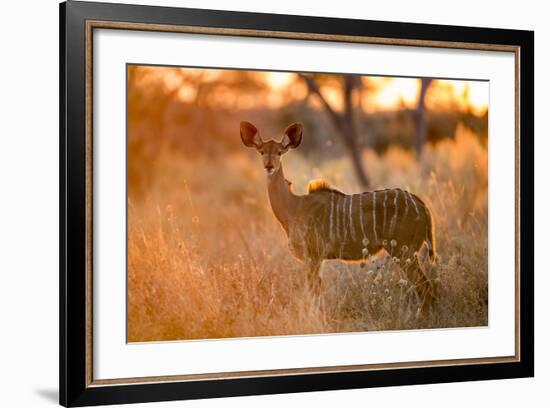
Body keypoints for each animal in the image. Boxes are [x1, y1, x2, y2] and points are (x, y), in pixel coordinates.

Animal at [242, 121, 440, 310]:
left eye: (280, 152)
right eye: (261, 151)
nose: (269, 166)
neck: (294, 207)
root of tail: (423, 206)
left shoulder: (313, 257)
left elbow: (314, 295)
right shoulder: (317, 260)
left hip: (404, 251)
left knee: (426, 288)